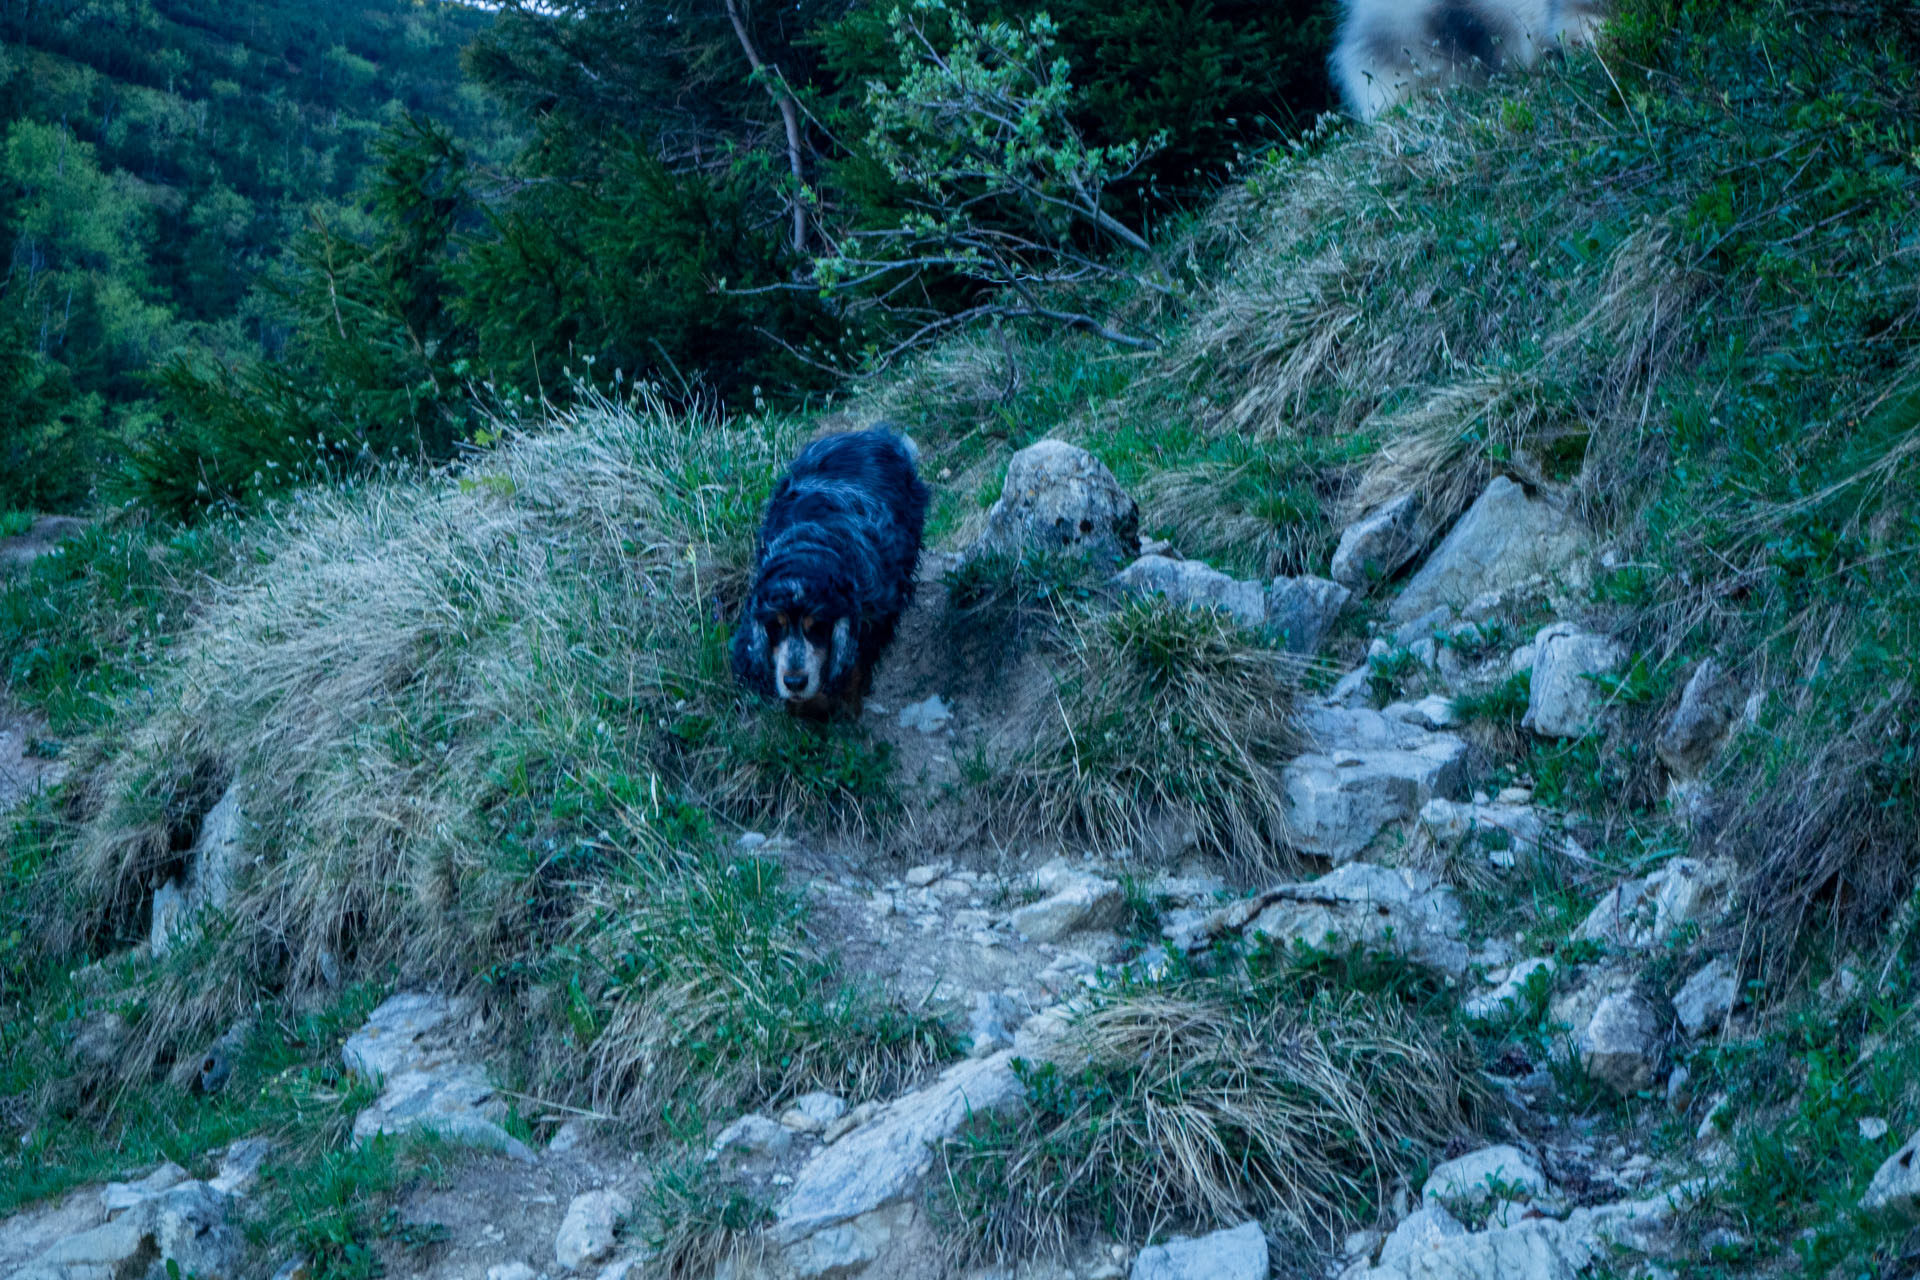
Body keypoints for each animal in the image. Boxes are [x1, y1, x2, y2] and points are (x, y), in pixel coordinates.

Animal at [725, 427, 929, 710]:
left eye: (818, 626)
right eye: (776, 626)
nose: (795, 682)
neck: (809, 546)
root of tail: (871, 432)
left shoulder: (874, 616)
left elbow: (855, 667)